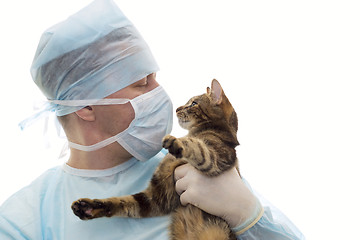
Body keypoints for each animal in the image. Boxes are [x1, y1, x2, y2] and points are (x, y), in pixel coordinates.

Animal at [71, 79, 239, 239]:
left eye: (193, 103)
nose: (177, 108)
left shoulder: (217, 157)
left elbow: (198, 147)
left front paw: (178, 141)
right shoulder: (156, 197)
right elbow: (122, 202)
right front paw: (90, 207)